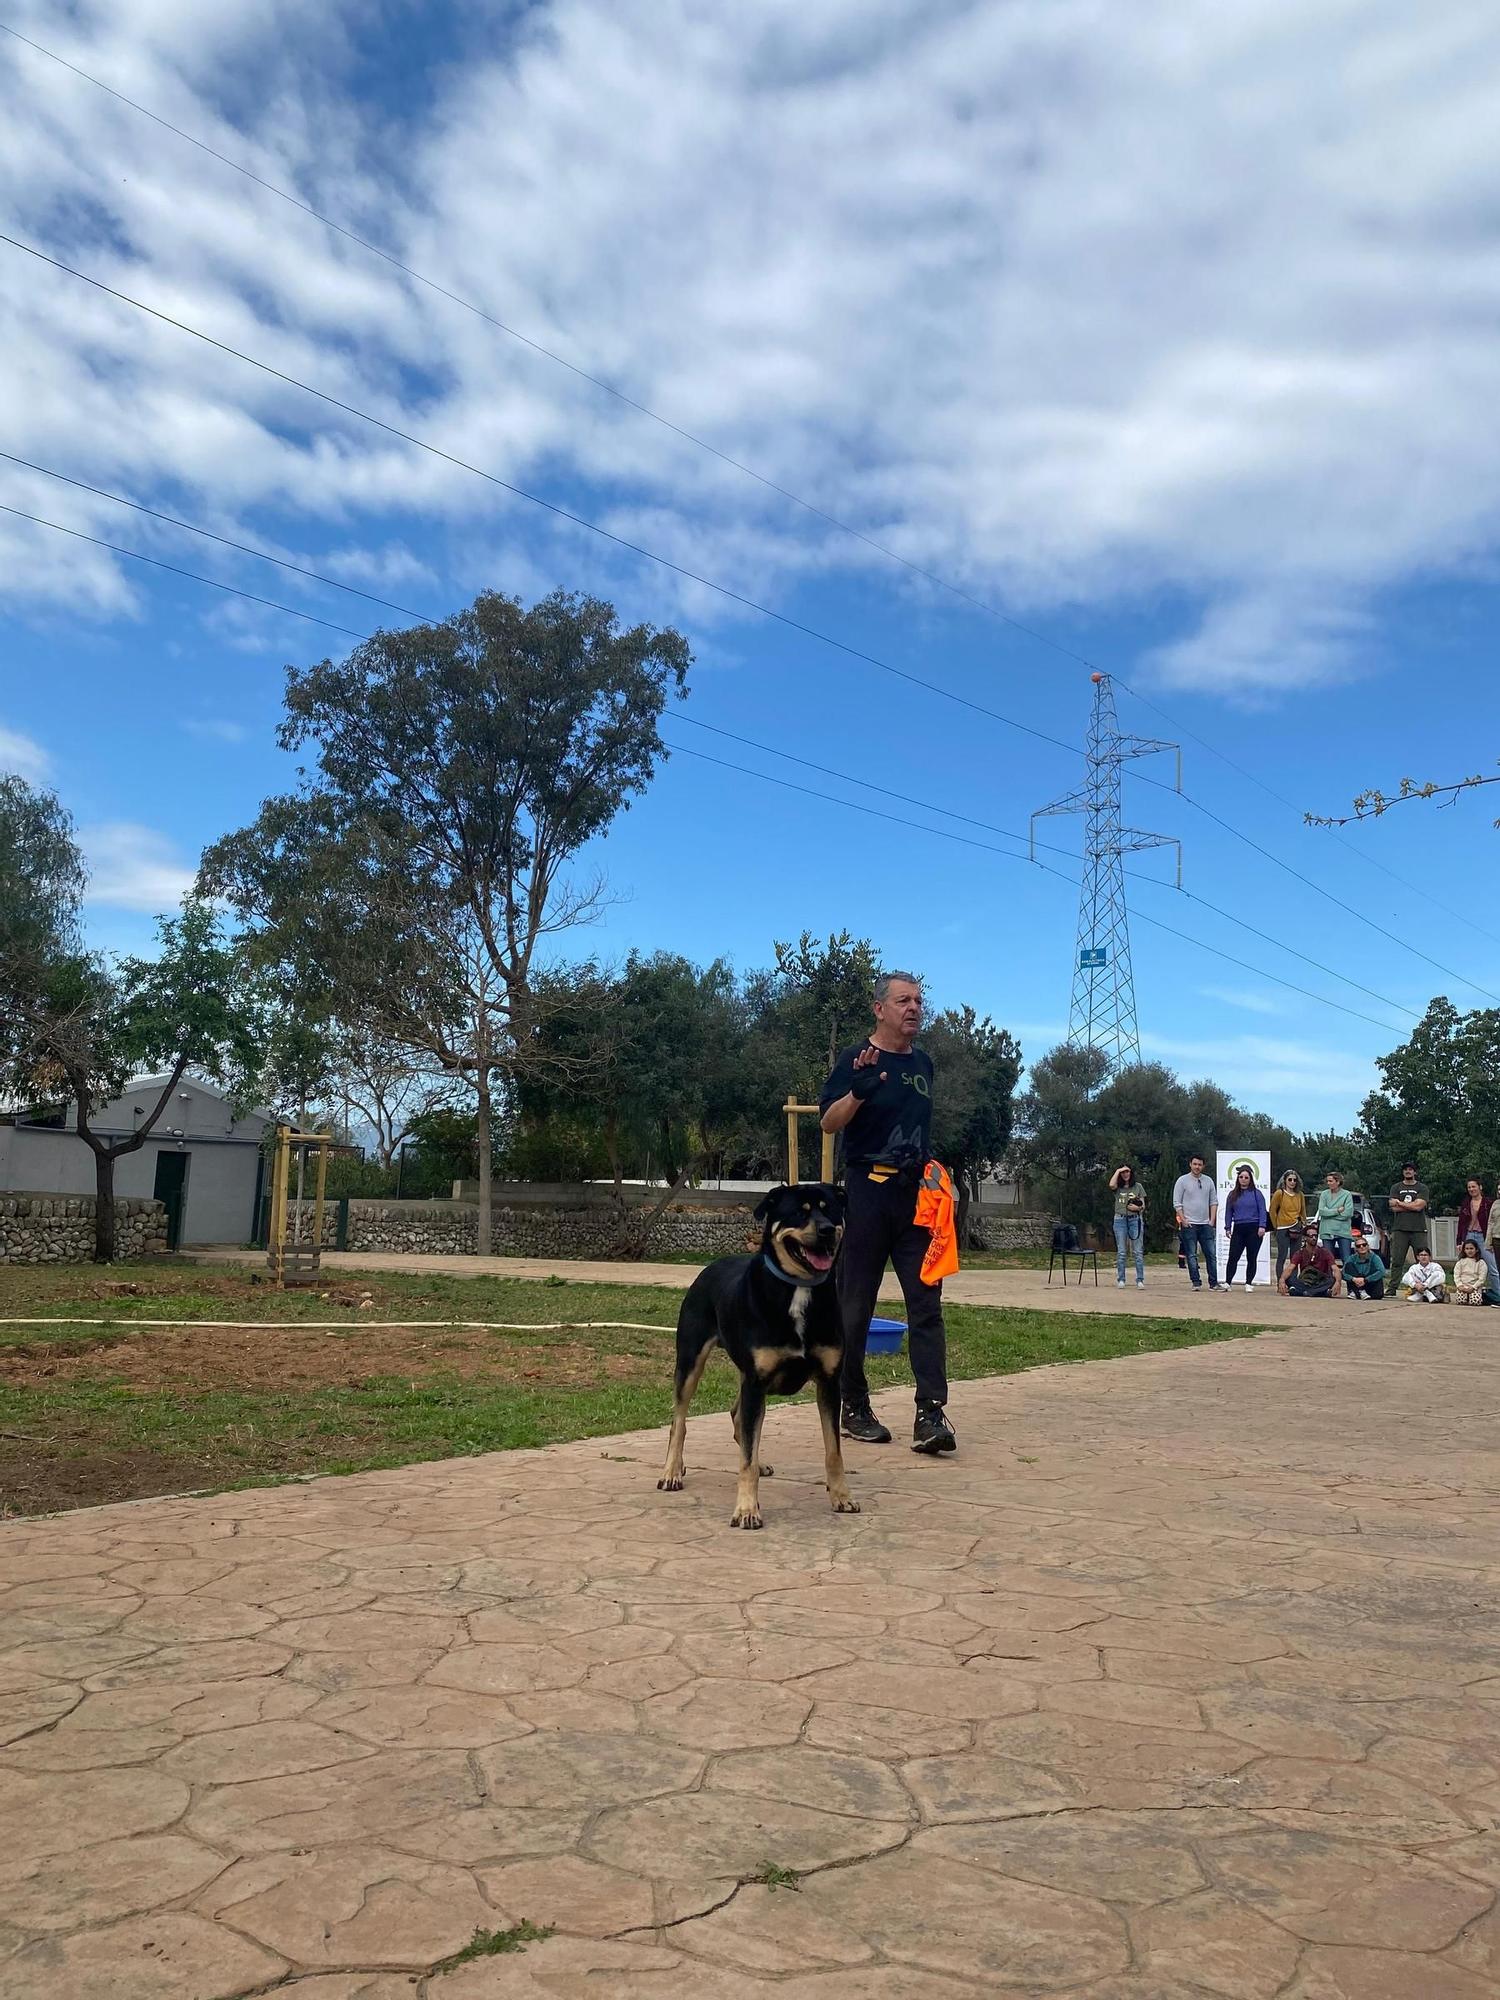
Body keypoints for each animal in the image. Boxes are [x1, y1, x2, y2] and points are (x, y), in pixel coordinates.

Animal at [656, 1184, 856, 1528]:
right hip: (691, 1360)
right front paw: (747, 1509)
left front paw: (841, 1496)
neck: (798, 1290)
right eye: (799, 1212)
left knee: (740, 1418)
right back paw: (672, 1471)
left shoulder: (829, 1382)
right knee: (679, 1420)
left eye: (829, 1209)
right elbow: (744, 1460)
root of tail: (710, 1267)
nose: (827, 1231)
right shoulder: (755, 1381)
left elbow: (833, 1452)